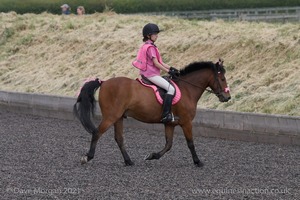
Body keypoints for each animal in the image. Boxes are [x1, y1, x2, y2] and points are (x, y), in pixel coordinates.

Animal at [74, 60, 231, 166]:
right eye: (222, 78)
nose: (227, 97)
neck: (187, 89)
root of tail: (104, 82)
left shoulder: (170, 124)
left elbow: (168, 145)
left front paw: (152, 156)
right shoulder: (186, 122)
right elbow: (190, 143)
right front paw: (198, 162)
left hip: (118, 118)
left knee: (119, 139)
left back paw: (128, 161)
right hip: (111, 117)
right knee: (97, 133)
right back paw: (87, 157)